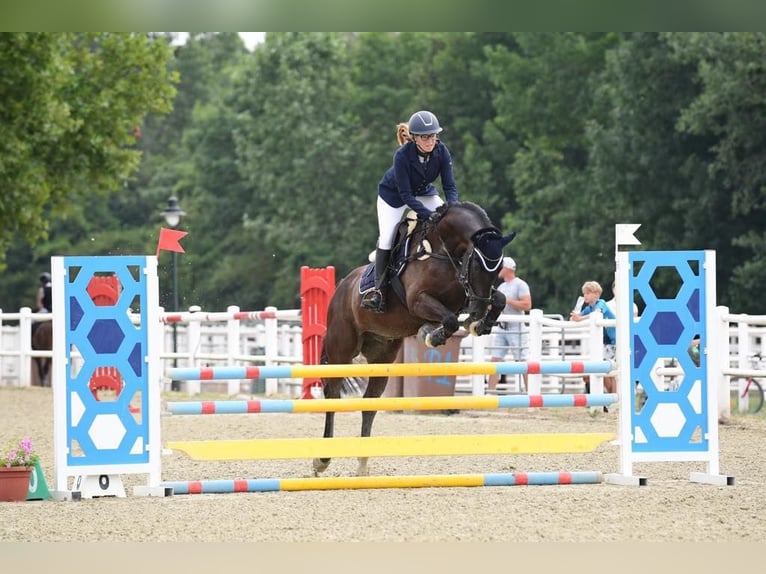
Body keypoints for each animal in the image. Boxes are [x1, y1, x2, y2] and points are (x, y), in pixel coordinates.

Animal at [316, 201, 520, 476]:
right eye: (477, 266)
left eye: (498, 269)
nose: (478, 311)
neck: (445, 250)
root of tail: (341, 287)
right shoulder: (418, 301)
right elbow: (450, 320)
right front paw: (432, 335)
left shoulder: (462, 296)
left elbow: (499, 298)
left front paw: (478, 324)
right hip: (342, 348)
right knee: (333, 393)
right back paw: (322, 460)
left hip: (383, 354)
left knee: (369, 403)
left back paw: (362, 466)